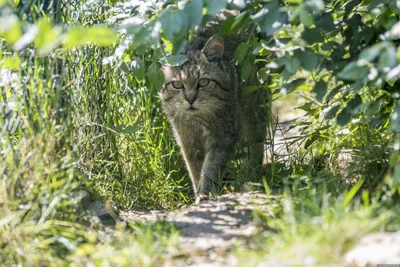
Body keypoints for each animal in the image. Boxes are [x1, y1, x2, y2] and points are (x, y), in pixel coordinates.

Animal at [158, 13, 268, 204]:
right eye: (178, 85)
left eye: (203, 82)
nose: (190, 99)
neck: (197, 120)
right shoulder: (186, 140)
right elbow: (195, 168)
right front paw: (198, 190)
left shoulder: (223, 134)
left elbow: (211, 166)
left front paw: (206, 192)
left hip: (255, 107)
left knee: (256, 143)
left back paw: (252, 176)